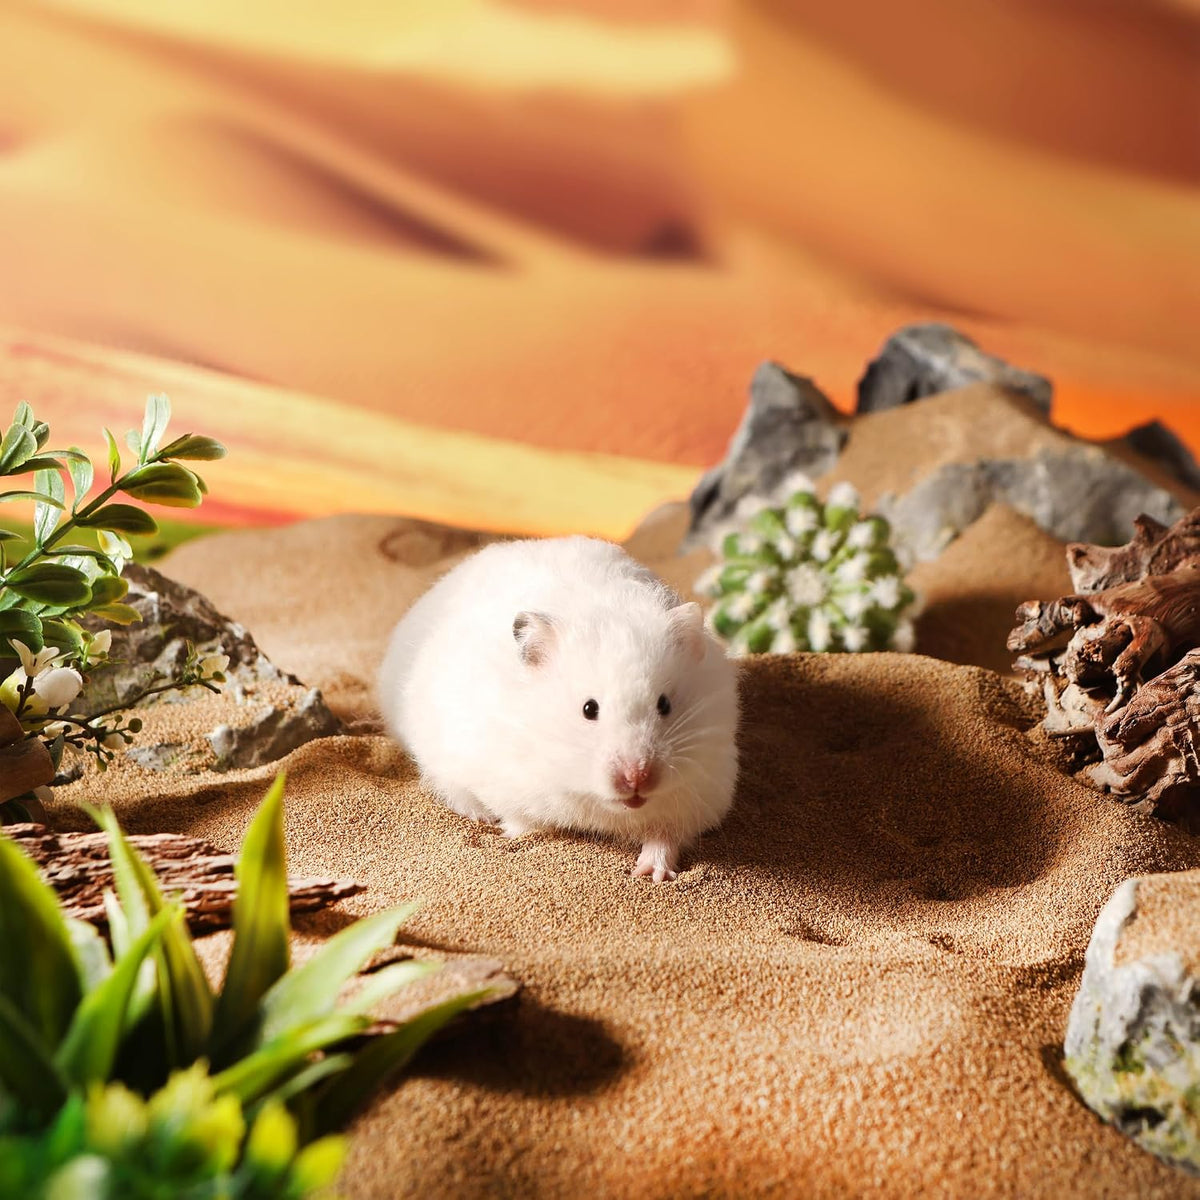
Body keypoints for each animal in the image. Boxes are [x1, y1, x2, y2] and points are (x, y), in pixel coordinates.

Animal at [377, 536, 739, 882]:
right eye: (589, 709)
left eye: (665, 704)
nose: (637, 779)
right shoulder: (508, 781)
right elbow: (524, 823)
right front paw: (508, 835)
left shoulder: (695, 796)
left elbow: (664, 839)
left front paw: (651, 874)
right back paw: (480, 816)